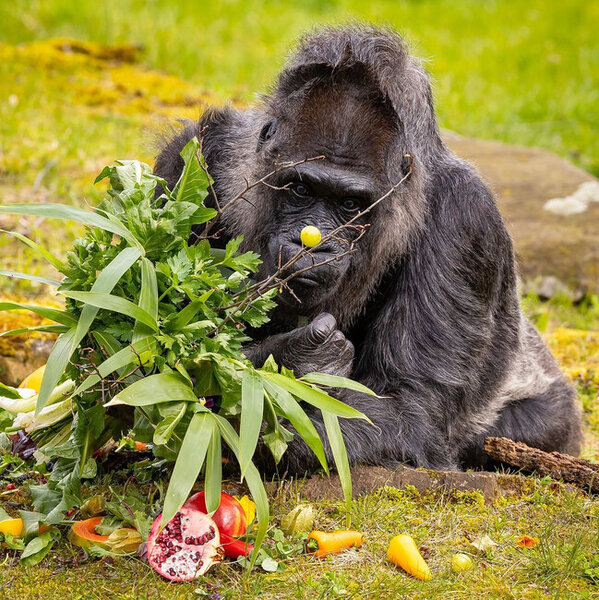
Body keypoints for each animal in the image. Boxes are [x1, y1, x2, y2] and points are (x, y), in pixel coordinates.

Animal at [154, 24, 580, 474]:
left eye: (350, 204)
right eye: (300, 189)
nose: (314, 245)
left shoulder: (467, 218)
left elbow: (409, 408)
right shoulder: (197, 152)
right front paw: (296, 358)